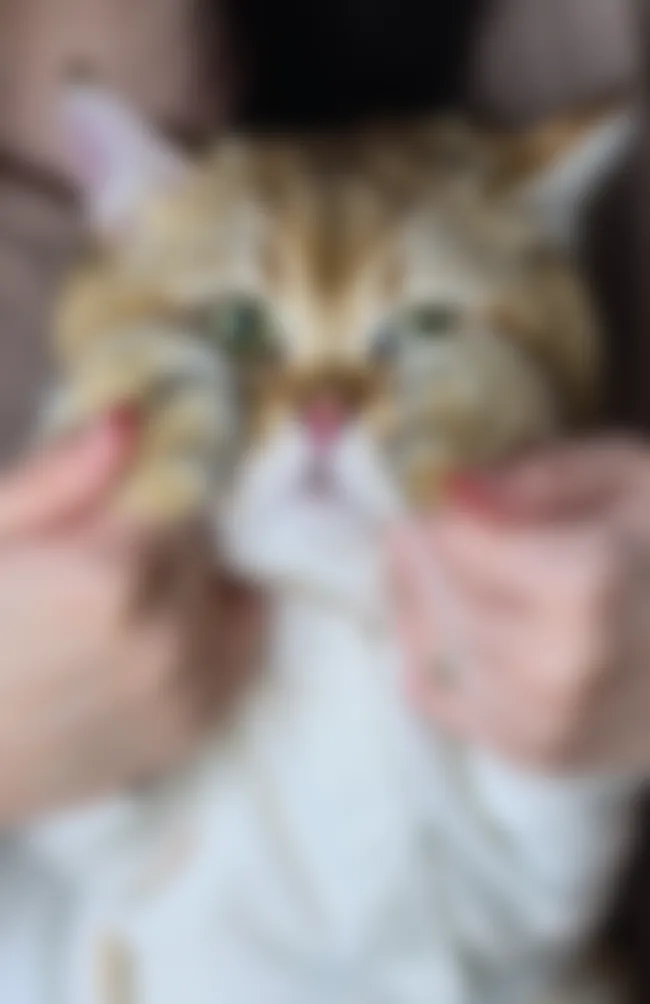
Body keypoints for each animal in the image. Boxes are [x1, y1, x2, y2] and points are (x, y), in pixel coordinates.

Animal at [3, 85, 640, 1004]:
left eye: (424, 325)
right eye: (236, 326)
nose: (325, 414)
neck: (324, 622)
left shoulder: (524, 905)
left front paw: (470, 395)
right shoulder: (119, 873)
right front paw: (148, 398)